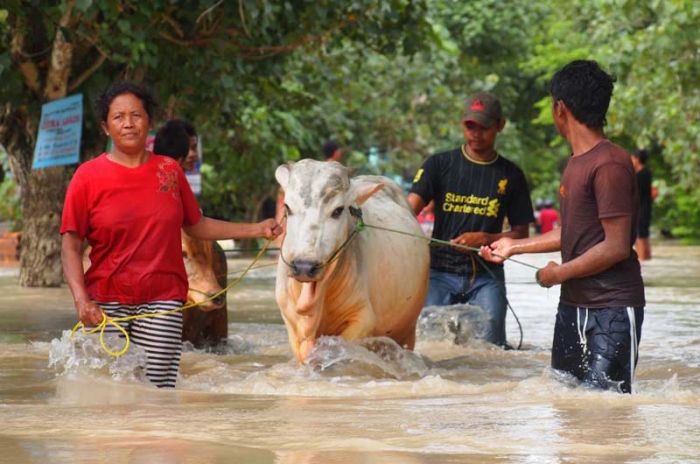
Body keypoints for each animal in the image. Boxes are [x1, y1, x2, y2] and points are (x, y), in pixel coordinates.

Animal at [274, 160, 430, 362]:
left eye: (338, 210)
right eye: (287, 208)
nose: (304, 267)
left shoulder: (362, 319)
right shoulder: (291, 324)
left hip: (408, 331)